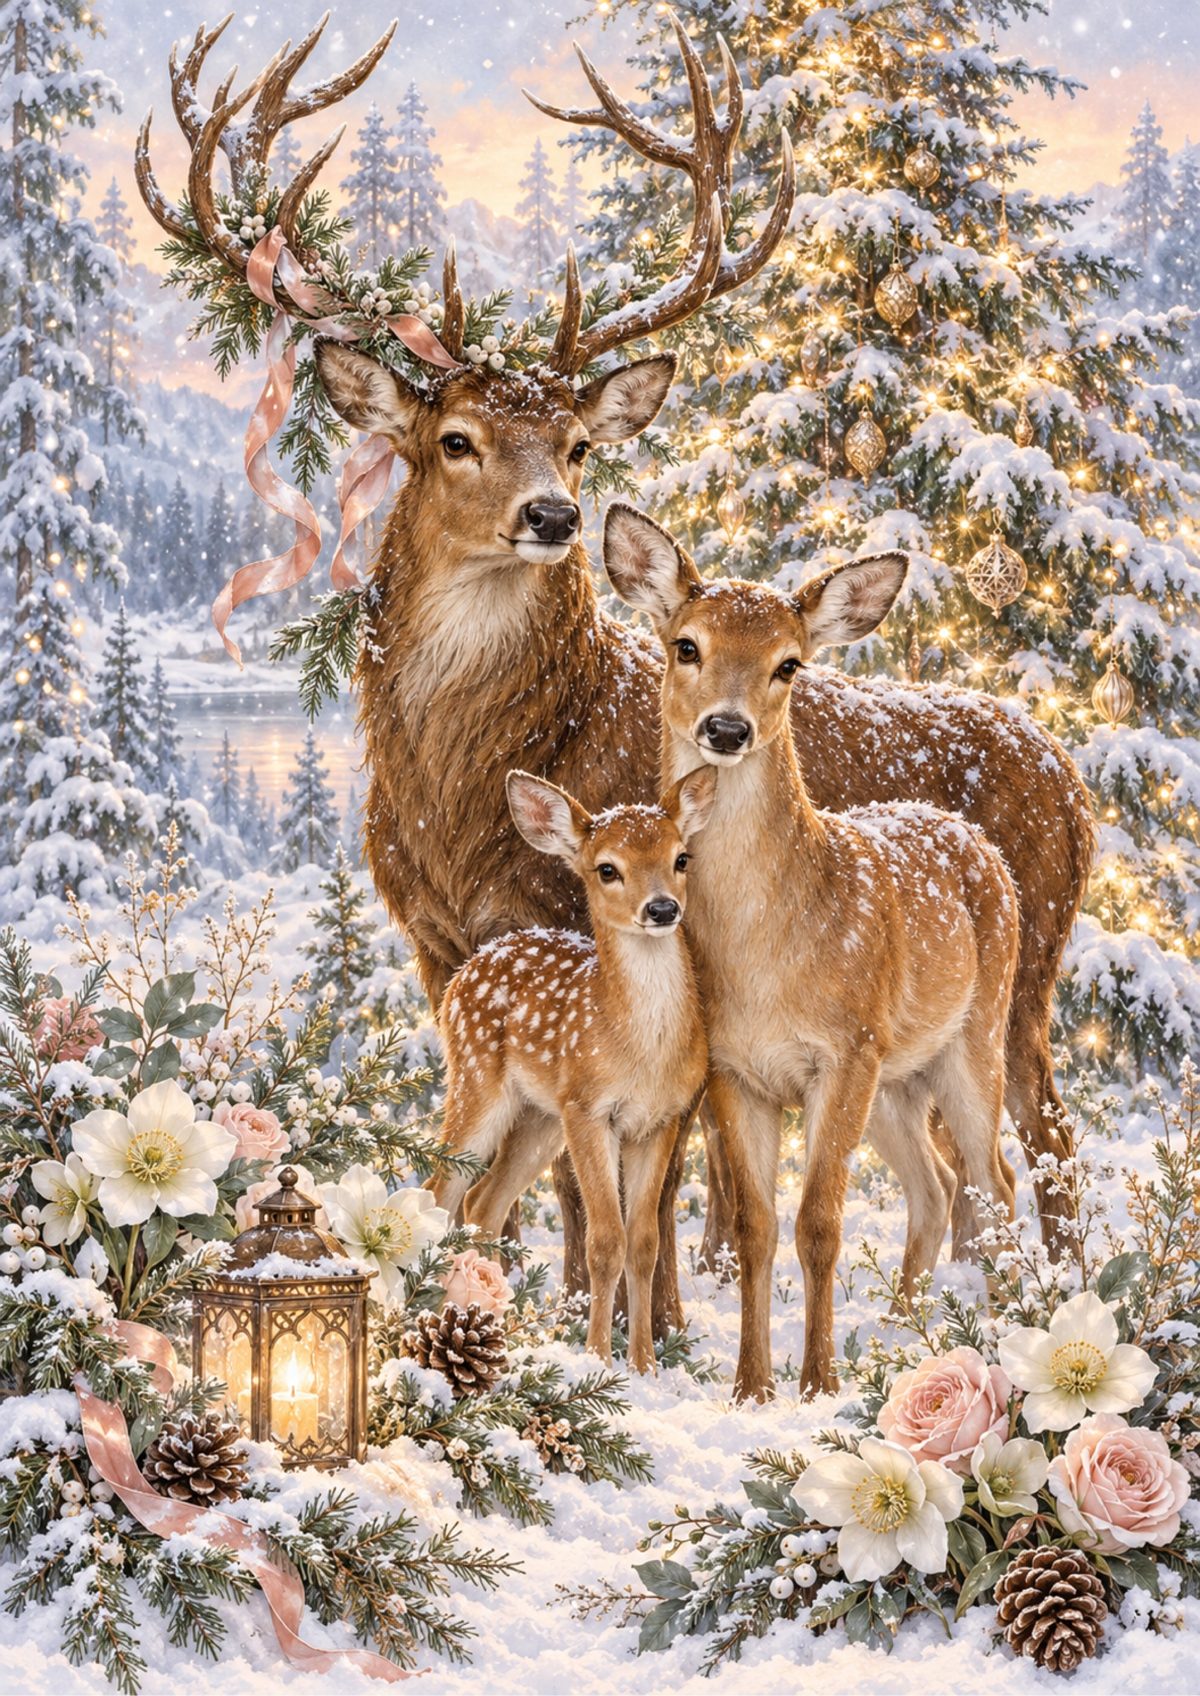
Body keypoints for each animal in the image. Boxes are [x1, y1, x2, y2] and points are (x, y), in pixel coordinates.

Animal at [430, 768, 714, 1371]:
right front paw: (597, 1360)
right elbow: (604, 1240)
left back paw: (489, 1323)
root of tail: (464, 973)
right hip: (478, 1081)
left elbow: (644, 1242)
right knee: (440, 1189)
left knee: (482, 1200)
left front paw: (645, 1364)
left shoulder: (661, 1119)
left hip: (541, 1118)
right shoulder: (589, 1108)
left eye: (681, 857)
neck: (640, 1051)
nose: (661, 909)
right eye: (608, 868)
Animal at [603, 503, 1021, 1399]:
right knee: (935, 1188)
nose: (726, 727)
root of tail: (969, 836)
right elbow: (756, 1226)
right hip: (899, 1079)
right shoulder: (733, 1068)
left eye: (788, 664)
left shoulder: (844, 1049)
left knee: (996, 1180)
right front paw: (752, 1385)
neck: (767, 954)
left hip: (976, 1036)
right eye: (685, 644)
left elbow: (820, 1222)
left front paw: (820, 1382)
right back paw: (903, 1332)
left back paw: (1009, 1327)